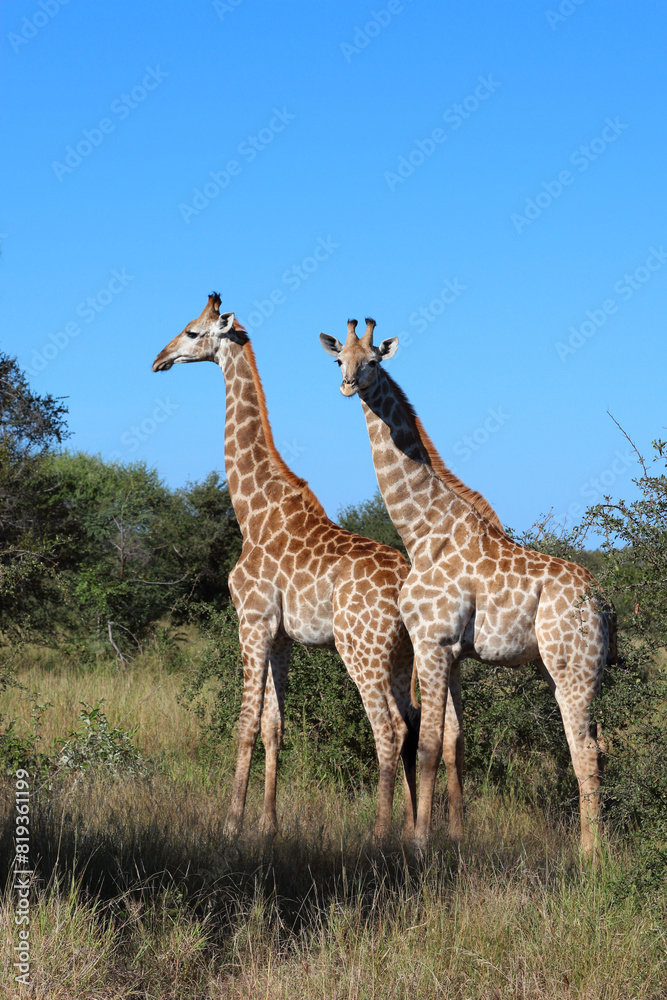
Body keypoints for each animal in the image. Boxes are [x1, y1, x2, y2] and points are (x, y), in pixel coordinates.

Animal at [153, 294, 425, 844]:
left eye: (192, 332)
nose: (159, 359)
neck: (252, 512)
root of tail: (406, 586)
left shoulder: (252, 621)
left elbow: (244, 724)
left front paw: (231, 824)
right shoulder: (281, 636)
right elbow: (275, 727)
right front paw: (268, 825)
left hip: (361, 649)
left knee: (387, 731)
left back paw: (379, 835)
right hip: (400, 655)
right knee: (409, 726)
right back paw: (410, 833)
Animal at [319, 318, 613, 854]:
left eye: (373, 360)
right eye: (338, 359)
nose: (349, 385)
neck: (422, 532)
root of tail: (605, 604)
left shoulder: (432, 643)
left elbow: (429, 744)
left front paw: (419, 842)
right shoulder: (453, 651)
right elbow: (455, 741)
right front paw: (455, 833)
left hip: (572, 667)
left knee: (583, 747)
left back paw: (590, 855)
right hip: (569, 669)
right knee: (597, 743)